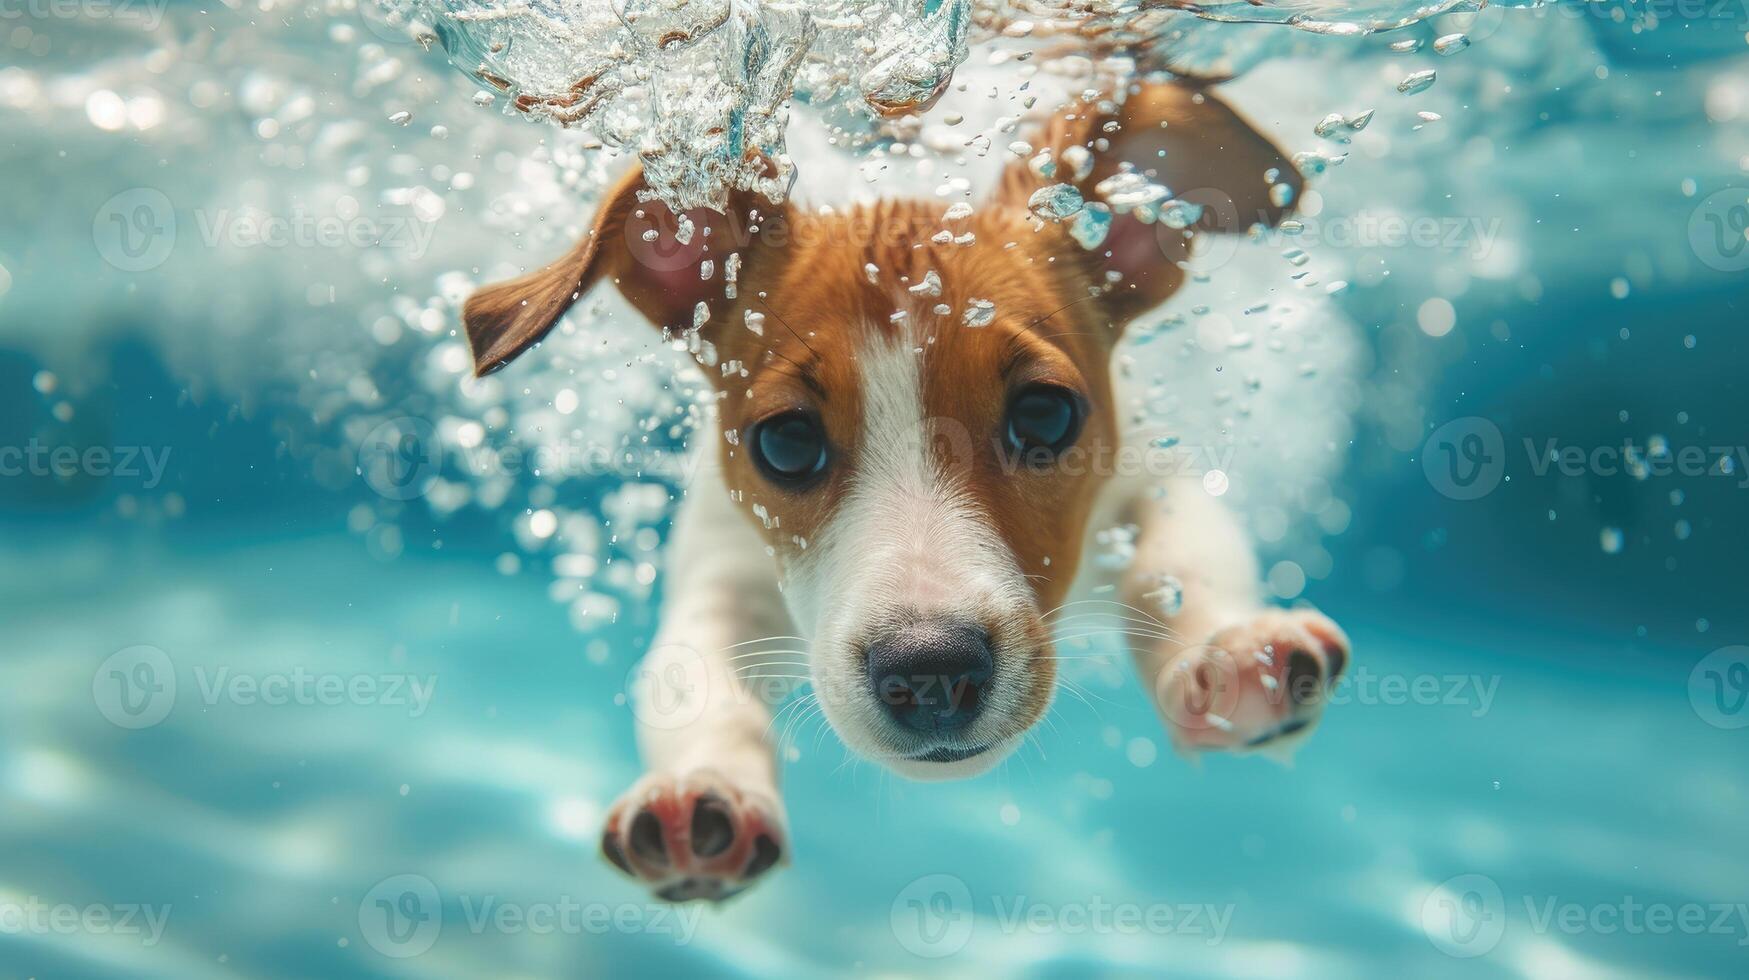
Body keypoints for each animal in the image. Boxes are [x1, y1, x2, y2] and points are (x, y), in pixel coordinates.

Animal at [458, 80, 1343, 903]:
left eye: (1045, 413)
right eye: (786, 442)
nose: (930, 673)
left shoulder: (1145, 483)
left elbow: (1181, 560)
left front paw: (1228, 649)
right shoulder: (723, 565)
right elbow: (696, 676)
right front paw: (703, 785)